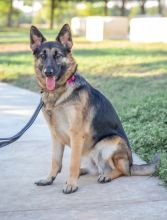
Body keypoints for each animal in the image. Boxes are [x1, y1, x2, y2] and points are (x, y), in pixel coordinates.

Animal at [29, 23, 159, 192]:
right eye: (42, 56)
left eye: (57, 55)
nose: (48, 72)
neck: (58, 94)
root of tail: (131, 163)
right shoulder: (55, 135)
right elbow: (55, 161)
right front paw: (49, 179)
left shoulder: (76, 134)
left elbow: (72, 163)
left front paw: (71, 184)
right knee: (94, 168)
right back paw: (84, 171)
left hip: (109, 144)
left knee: (122, 171)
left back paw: (106, 176)